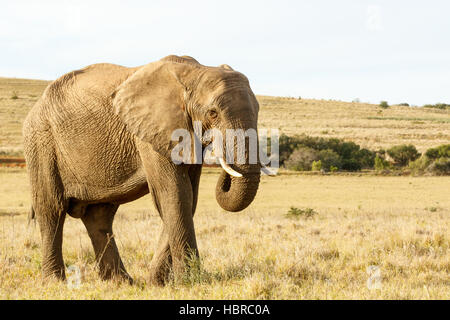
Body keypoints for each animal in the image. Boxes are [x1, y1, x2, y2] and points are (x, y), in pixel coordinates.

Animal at [23, 55, 264, 284]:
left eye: (258, 110)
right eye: (213, 113)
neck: (195, 72)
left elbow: (188, 197)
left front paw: (156, 282)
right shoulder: (152, 132)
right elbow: (174, 193)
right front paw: (189, 281)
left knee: (99, 216)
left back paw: (121, 282)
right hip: (41, 142)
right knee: (52, 209)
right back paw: (55, 282)